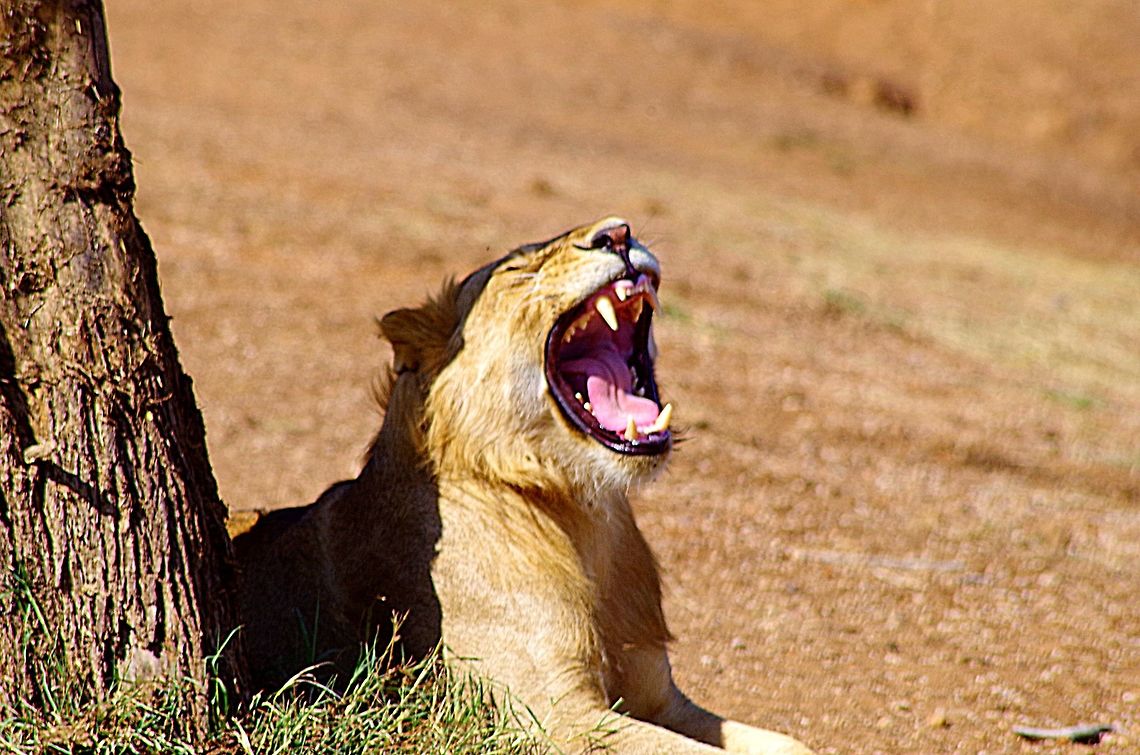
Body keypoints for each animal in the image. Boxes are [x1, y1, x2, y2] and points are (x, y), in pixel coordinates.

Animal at [234, 217, 814, 754]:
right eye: (518, 270)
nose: (618, 233)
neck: (585, 518)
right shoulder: (555, 717)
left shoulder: (660, 697)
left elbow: (790, 744)